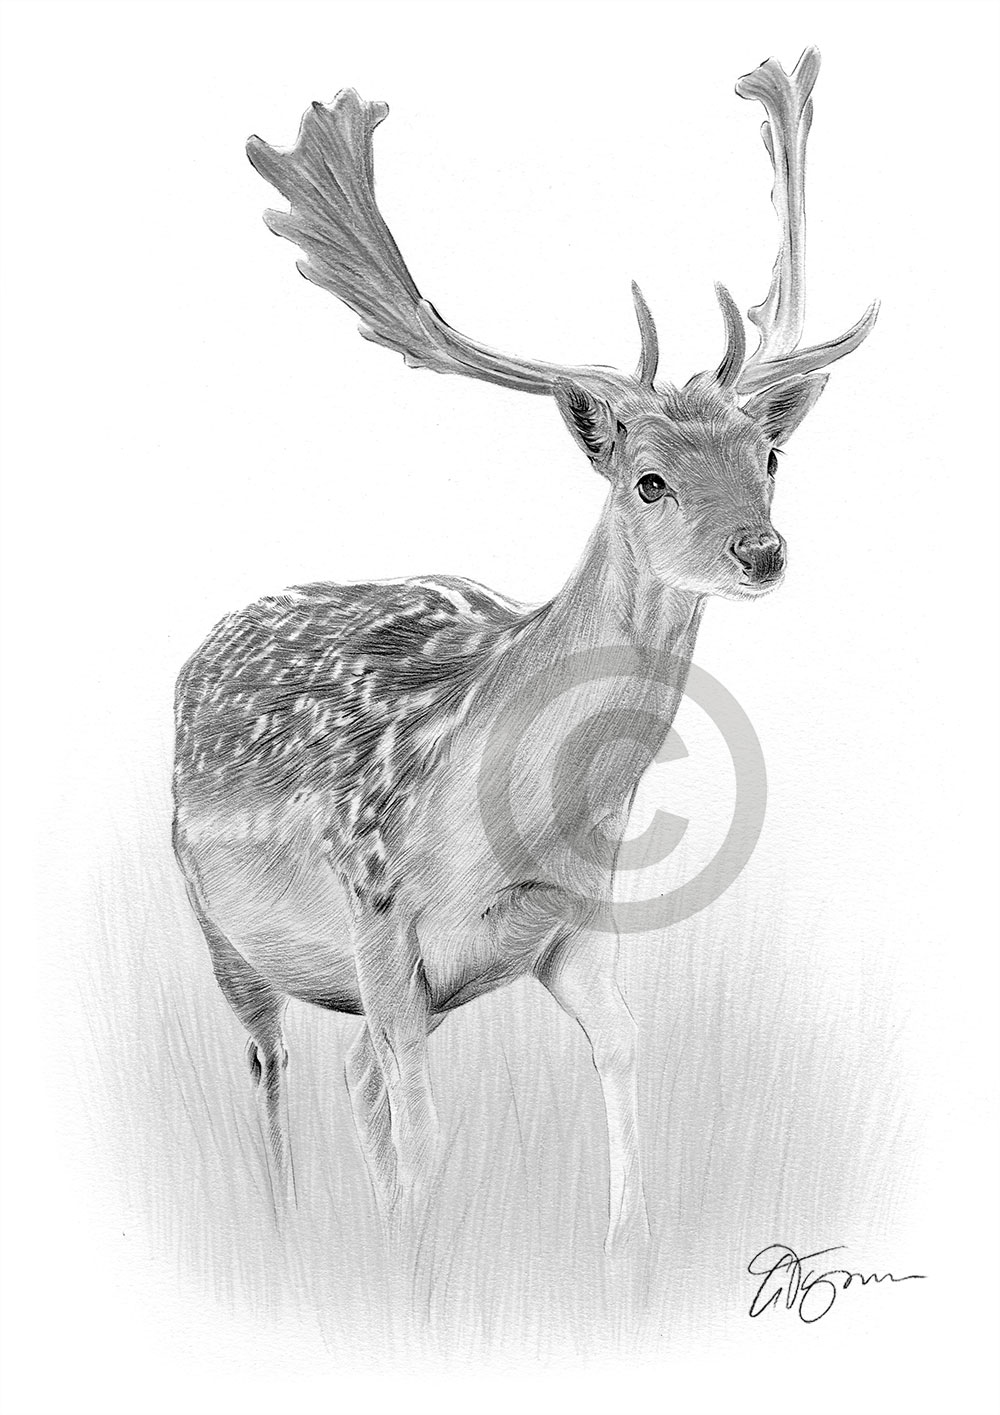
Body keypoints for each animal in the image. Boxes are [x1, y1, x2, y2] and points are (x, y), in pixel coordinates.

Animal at [172, 46, 876, 1254]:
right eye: (648, 478)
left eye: (770, 456)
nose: (762, 548)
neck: (513, 826)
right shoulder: (378, 918)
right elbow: (426, 1144)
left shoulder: (578, 929)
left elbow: (622, 1075)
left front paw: (622, 1256)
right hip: (215, 921)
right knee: (270, 1067)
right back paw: (284, 1231)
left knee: (352, 1081)